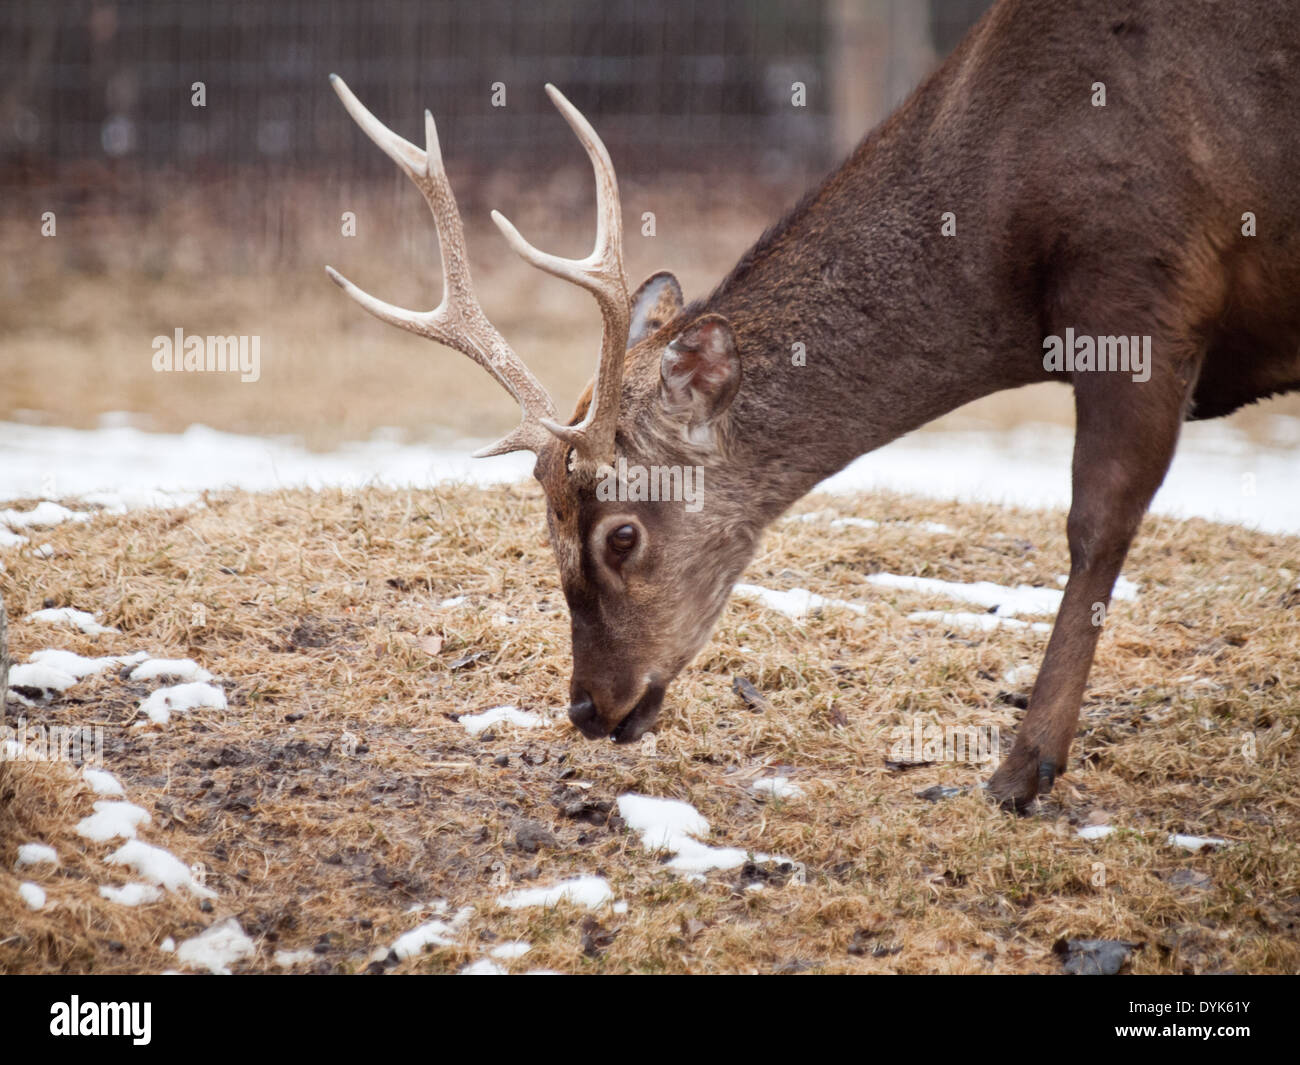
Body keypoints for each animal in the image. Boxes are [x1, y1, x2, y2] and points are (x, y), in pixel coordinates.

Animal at [325, 0, 1300, 806]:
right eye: (548, 523)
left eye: (622, 534)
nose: (589, 706)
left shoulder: (1143, 283)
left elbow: (1096, 524)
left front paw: (1022, 769)